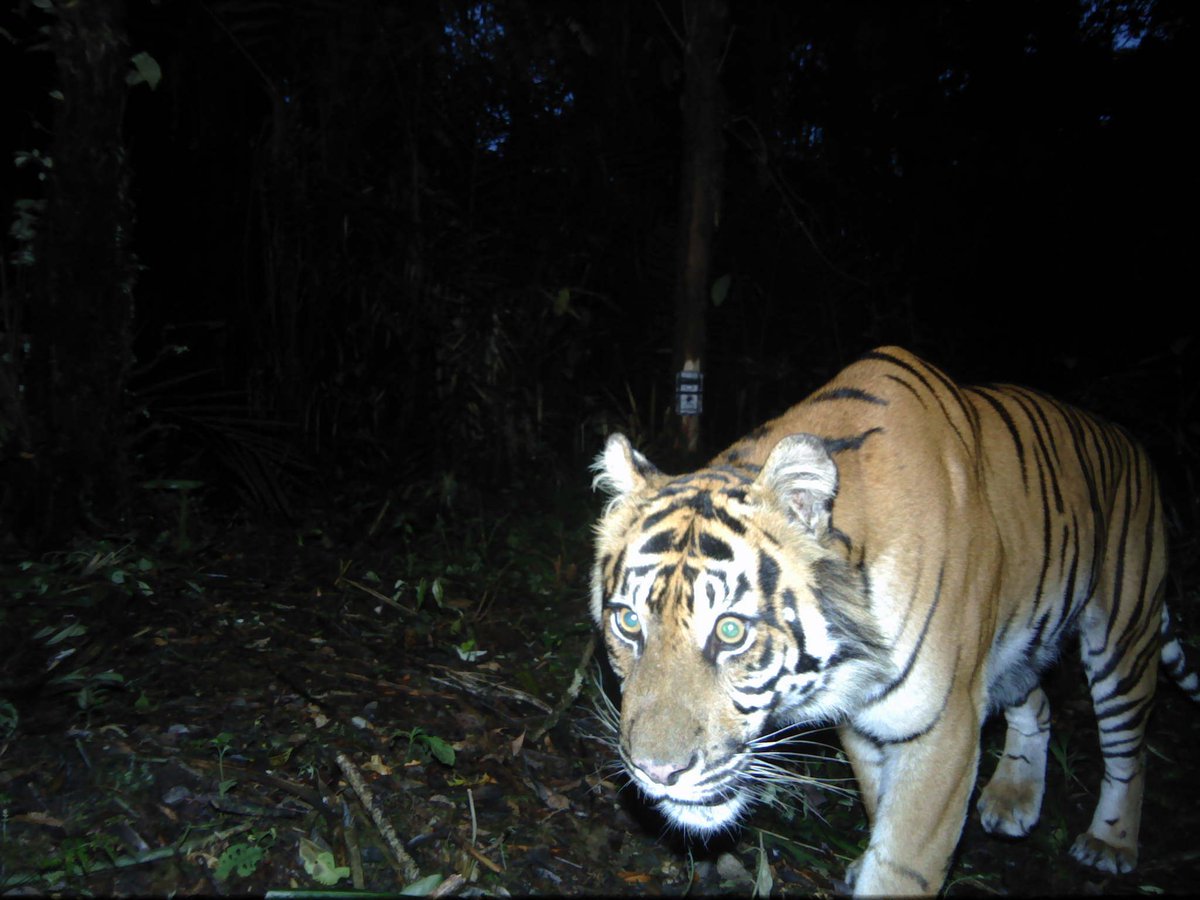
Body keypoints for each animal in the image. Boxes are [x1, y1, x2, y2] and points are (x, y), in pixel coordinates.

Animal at [590, 346, 1199, 896]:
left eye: (731, 631)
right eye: (628, 623)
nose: (655, 772)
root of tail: (1129, 442)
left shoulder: (945, 724)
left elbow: (906, 859)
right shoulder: (867, 719)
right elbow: (879, 798)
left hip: (1123, 634)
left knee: (1129, 748)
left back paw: (1110, 842)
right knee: (1039, 701)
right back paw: (1014, 799)